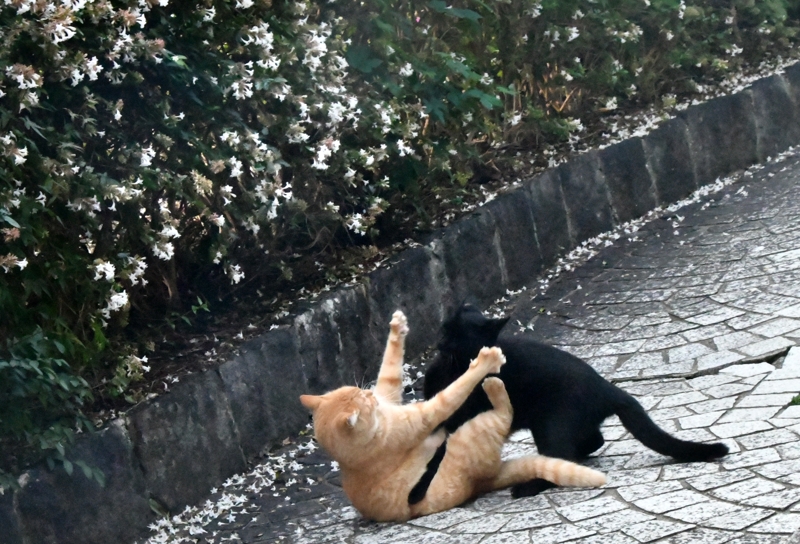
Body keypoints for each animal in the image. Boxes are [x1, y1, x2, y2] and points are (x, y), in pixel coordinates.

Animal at [423, 303, 729, 498]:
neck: (454, 367)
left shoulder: (457, 418)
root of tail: (609, 388)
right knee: (593, 441)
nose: (438, 343)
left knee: (563, 456)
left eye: (452, 333)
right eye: (443, 329)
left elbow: (440, 450)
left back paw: (528, 487)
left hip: (551, 425)